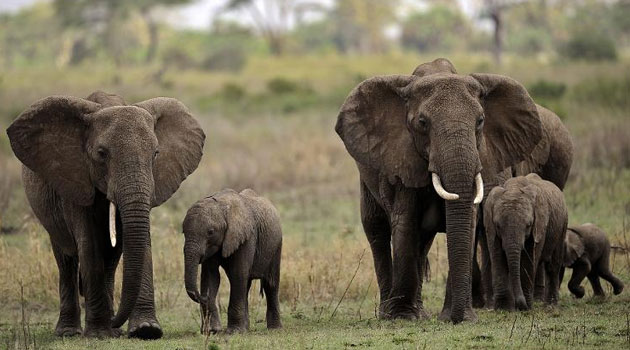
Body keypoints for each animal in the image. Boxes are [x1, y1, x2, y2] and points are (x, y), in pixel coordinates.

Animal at [6, 91, 205, 340]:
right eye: (101, 154)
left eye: (156, 154)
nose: (115, 323)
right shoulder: (76, 179)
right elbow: (89, 245)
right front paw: (100, 333)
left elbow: (141, 241)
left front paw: (146, 330)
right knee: (66, 259)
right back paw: (69, 332)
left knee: (110, 259)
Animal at [181, 189, 282, 334]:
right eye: (183, 232)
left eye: (210, 232)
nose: (204, 296)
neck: (222, 206)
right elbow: (211, 276)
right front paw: (212, 331)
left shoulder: (247, 237)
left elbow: (238, 273)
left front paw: (234, 332)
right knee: (246, 285)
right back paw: (246, 328)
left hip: (276, 245)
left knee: (270, 283)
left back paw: (274, 329)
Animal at [336, 57, 548, 322]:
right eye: (422, 123)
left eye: (480, 121)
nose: (456, 319)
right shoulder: (403, 158)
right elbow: (405, 223)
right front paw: (403, 317)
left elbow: (467, 223)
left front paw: (458, 317)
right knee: (377, 229)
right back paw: (390, 313)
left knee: (423, 241)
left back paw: (421, 312)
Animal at [486, 174, 572, 310]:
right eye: (498, 225)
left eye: (528, 225)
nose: (520, 305)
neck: (514, 187)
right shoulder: (490, 227)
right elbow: (497, 256)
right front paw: (503, 308)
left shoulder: (539, 224)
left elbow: (528, 259)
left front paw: (525, 307)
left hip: (562, 225)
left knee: (553, 266)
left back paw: (550, 306)